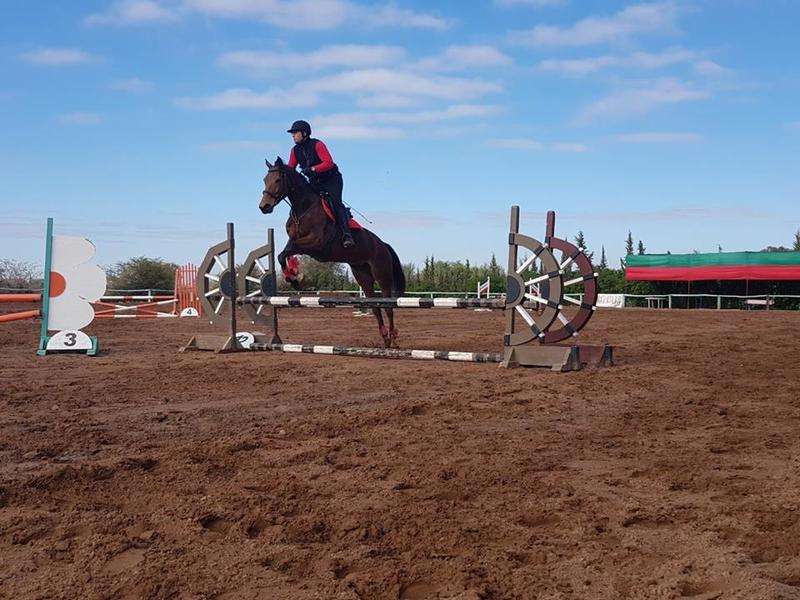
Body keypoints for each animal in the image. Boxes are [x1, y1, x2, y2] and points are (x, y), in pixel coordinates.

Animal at [260, 157, 404, 346]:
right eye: (265, 180)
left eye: (277, 180)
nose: (264, 206)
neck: (304, 208)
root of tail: (383, 244)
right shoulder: (295, 241)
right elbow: (282, 254)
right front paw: (293, 278)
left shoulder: (316, 243)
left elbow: (286, 253)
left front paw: (297, 278)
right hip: (362, 275)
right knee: (375, 306)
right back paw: (385, 339)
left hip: (382, 275)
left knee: (388, 306)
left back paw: (393, 338)